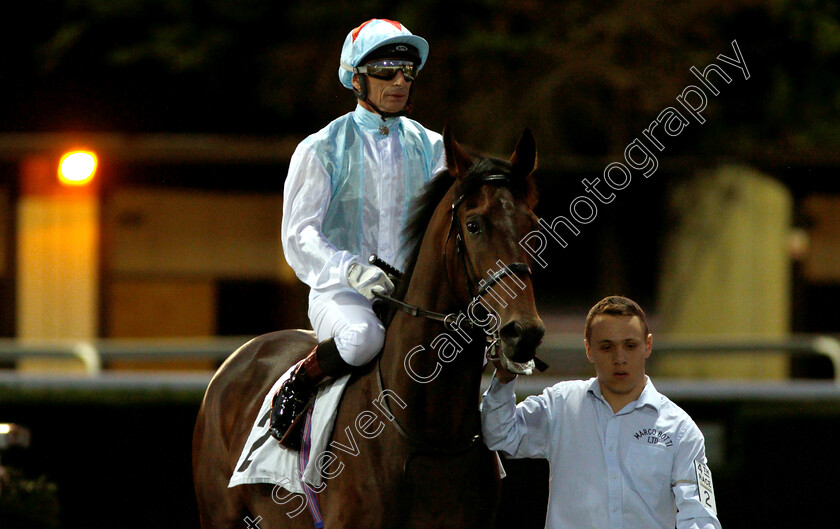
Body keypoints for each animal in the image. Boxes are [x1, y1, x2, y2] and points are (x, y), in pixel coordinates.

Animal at [192, 128, 544, 528]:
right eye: (474, 225)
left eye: (532, 225)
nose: (524, 332)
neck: (429, 430)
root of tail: (235, 360)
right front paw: (370, 277)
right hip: (218, 515)